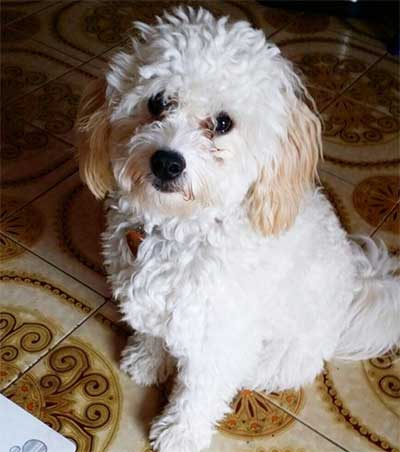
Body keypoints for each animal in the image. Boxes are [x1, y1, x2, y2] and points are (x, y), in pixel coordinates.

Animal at [76, 7, 400, 452]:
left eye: (223, 123)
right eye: (158, 101)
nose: (167, 162)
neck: (181, 231)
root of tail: (358, 285)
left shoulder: (222, 336)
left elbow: (198, 392)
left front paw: (180, 433)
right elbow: (153, 332)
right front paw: (146, 360)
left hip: (282, 352)